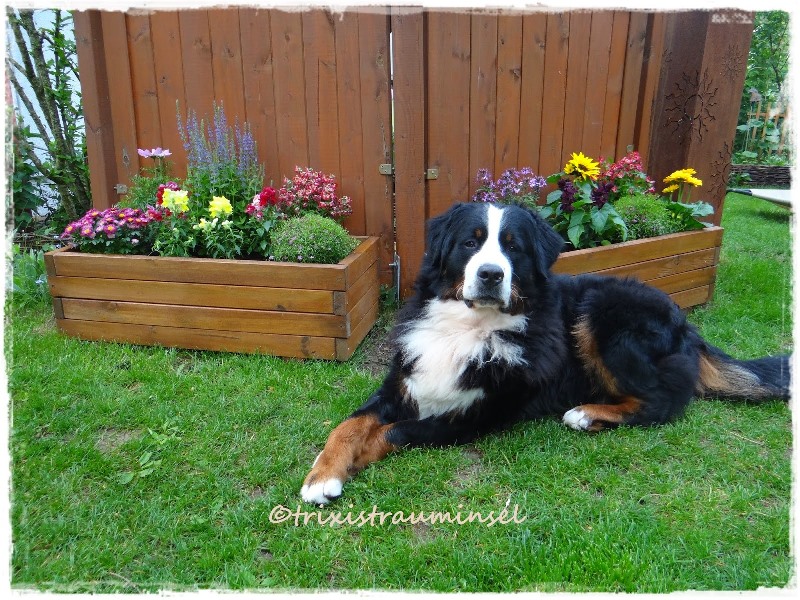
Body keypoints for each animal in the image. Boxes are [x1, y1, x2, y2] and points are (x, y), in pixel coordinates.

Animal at [298, 203, 788, 506]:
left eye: (513, 246)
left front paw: (351, 465)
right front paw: (322, 475)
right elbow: (349, 425)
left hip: (603, 314)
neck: (469, 327)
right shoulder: (401, 383)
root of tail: (685, 321)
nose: (491, 274)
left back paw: (587, 414)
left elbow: (394, 431)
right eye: (471, 242)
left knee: (662, 403)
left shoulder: (479, 413)